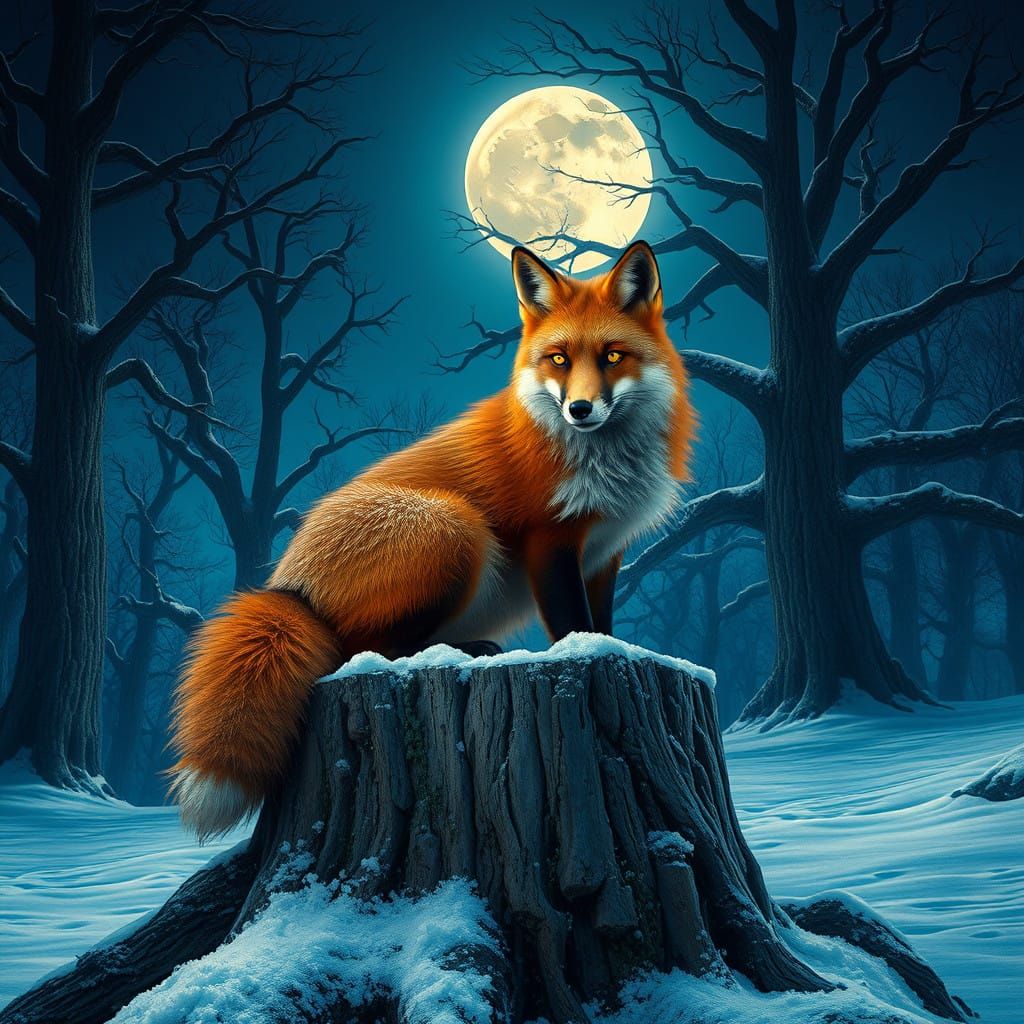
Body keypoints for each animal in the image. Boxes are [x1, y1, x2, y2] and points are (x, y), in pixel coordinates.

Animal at [169, 240, 695, 839]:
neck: (599, 460)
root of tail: (288, 585)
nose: (579, 410)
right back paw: (464, 651)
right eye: (559, 359)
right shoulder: (550, 542)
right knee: (365, 651)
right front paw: (582, 652)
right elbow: (570, 623)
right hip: (456, 530)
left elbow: (601, 622)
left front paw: (614, 650)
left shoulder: (605, 551)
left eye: (612, 356)